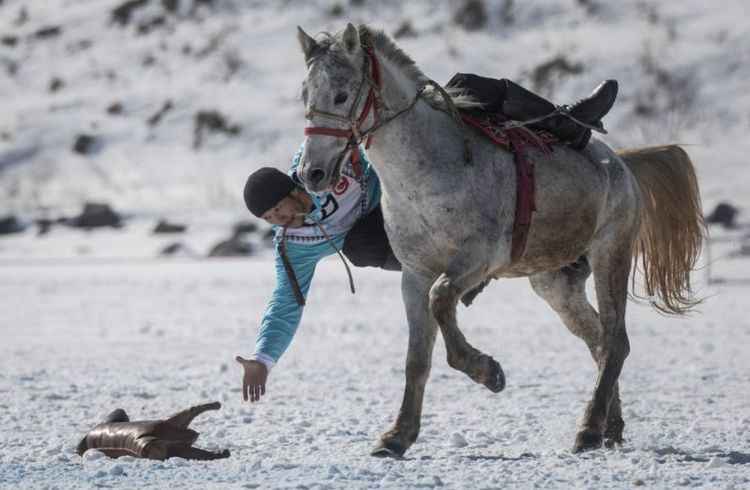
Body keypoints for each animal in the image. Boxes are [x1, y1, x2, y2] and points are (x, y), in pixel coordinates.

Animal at [292, 24, 704, 458]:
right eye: (306, 95)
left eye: (341, 94)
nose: (312, 173)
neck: (430, 169)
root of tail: (620, 163)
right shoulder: (414, 274)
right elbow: (416, 358)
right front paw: (397, 436)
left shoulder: (476, 260)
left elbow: (442, 301)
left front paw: (488, 371)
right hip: (556, 283)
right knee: (599, 342)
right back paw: (610, 426)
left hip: (612, 255)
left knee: (616, 341)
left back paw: (589, 429)